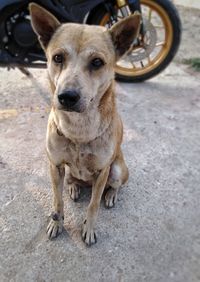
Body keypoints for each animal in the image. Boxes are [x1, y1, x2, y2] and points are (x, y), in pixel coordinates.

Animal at [29, 3, 141, 246]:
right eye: (58, 58)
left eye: (97, 62)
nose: (66, 97)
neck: (78, 130)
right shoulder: (55, 165)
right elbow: (57, 201)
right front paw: (56, 223)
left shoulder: (102, 171)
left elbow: (93, 205)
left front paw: (88, 228)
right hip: (68, 172)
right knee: (72, 180)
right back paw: (73, 187)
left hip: (117, 169)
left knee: (115, 185)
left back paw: (111, 195)